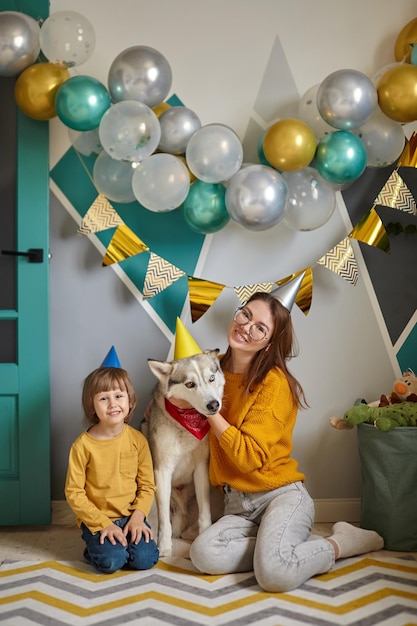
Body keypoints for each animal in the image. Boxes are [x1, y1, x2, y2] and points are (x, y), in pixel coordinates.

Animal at [145, 348, 226, 552]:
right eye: (190, 384)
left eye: (211, 378)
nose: (214, 405)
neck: (186, 425)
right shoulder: (162, 471)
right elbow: (164, 519)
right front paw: (164, 547)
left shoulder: (201, 468)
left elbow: (204, 513)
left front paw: (203, 534)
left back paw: (191, 533)